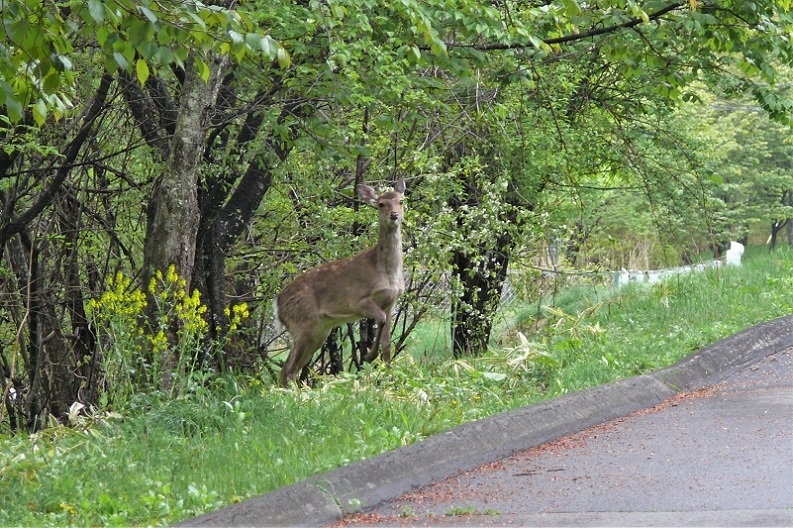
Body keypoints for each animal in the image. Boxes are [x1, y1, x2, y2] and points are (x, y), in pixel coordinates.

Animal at [276, 179, 406, 386]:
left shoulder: (391, 303)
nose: (394, 215)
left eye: (401, 201)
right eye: (381, 204)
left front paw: (388, 376)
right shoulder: (358, 300)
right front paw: (369, 356)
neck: (388, 273)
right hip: (303, 323)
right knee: (288, 369)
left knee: (291, 368)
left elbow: (387, 345)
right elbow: (380, 319)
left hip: (320, 331)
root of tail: (278, 303)